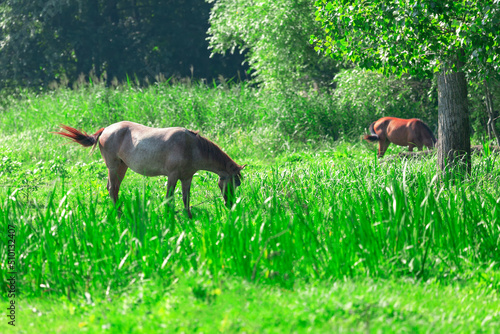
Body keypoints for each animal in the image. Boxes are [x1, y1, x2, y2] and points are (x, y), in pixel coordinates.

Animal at [54, 121, 246, 218]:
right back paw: (119, 215)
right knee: (112, 189)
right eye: (234, 183)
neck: (191, 147)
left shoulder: (187, 177)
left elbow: (186, 198)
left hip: (122, 167)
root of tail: (106, 129)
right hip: (113, 166)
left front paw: (189, 216)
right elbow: (169, 196)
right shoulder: (172, 175)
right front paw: (169, 217)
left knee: (113, 189)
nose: (229, 204)